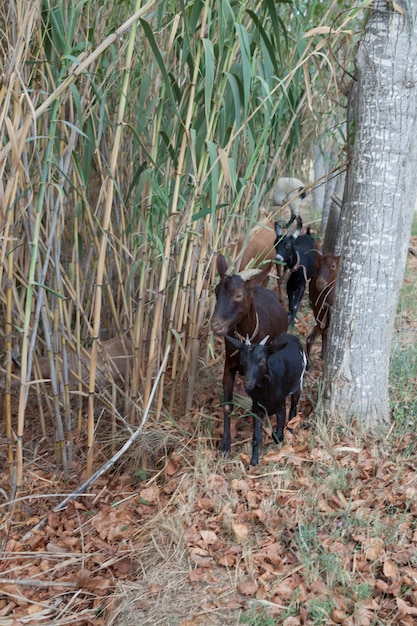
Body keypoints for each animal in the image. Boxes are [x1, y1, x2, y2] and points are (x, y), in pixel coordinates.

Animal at [210, 255, 288, 458]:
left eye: (238, 295)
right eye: (216, 291)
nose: (215, 324)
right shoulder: (229, 367)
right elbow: (227, 405)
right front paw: (225, 445)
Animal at [224, 332, 306, 464]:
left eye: (262, 361)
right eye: (242, 362)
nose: (248, 383)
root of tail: (289, 335)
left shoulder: (281, 406)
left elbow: (278, 436)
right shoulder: (256, 409)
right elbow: (256, 437)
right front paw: (253, 461)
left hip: (299, 382)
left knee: (293, 407)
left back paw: (291, 429)